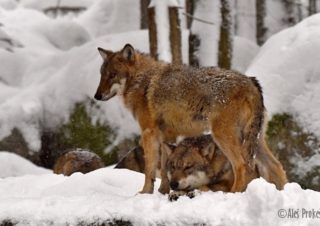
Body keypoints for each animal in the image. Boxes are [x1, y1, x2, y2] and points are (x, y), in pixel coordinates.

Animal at [94, 44, 266, 194]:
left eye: (113, 75)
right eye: (102, 75)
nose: (97, 96)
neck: (142, 81)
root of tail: (251, 83)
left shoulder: (148, 133)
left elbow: (149, 170)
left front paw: (145, 192)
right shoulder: (167, 135)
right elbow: (165, 166)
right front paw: (164, 191)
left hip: (223, 137)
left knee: (242, 166)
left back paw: (233, 193)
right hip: (253, 142)